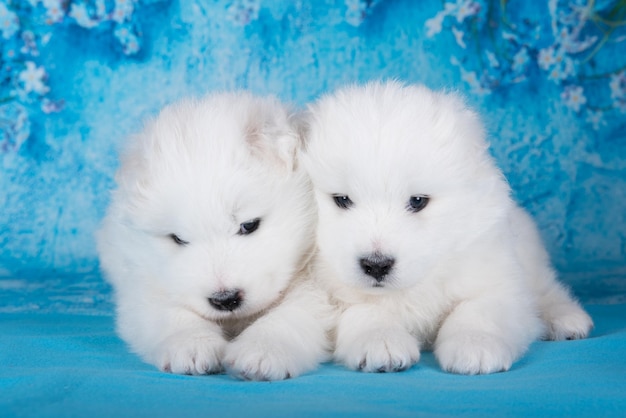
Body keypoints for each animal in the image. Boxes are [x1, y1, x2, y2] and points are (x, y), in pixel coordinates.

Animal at [96, 93, 332, 380]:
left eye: (248, 225)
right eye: (179, 239)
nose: (225, 299)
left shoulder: (315, 281)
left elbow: (295, 311)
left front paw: (262, 351)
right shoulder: (140, 277)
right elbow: (168, 310)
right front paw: (191, 344)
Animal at [300, 81, 592, 376]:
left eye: (418, 201)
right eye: (342, 199)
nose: (376, 265)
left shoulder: (496, 278)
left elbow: (478, 308)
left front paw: (474, 346)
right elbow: (363, 309)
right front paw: (382, 342)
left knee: (546, 288)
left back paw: (567, 319)